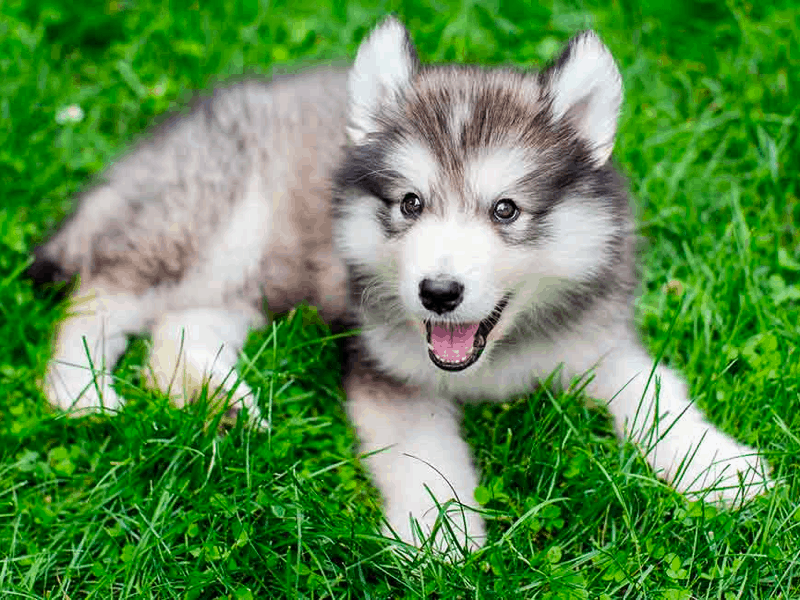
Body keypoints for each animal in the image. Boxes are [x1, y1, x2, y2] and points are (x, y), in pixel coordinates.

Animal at [28, 15, 772, 552]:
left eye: (506, 210)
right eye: (411, 203)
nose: (438, 294)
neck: (494, 362)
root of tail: (146, 148)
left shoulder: (599, 341)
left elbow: (655, 394)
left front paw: (719, 469)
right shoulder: (388, 372)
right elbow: (423, 453)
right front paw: (439, 534)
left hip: (254, 273)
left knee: (180, 329)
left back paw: (219, 404)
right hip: (211, 227)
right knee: (102, 296)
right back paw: (82, 392)